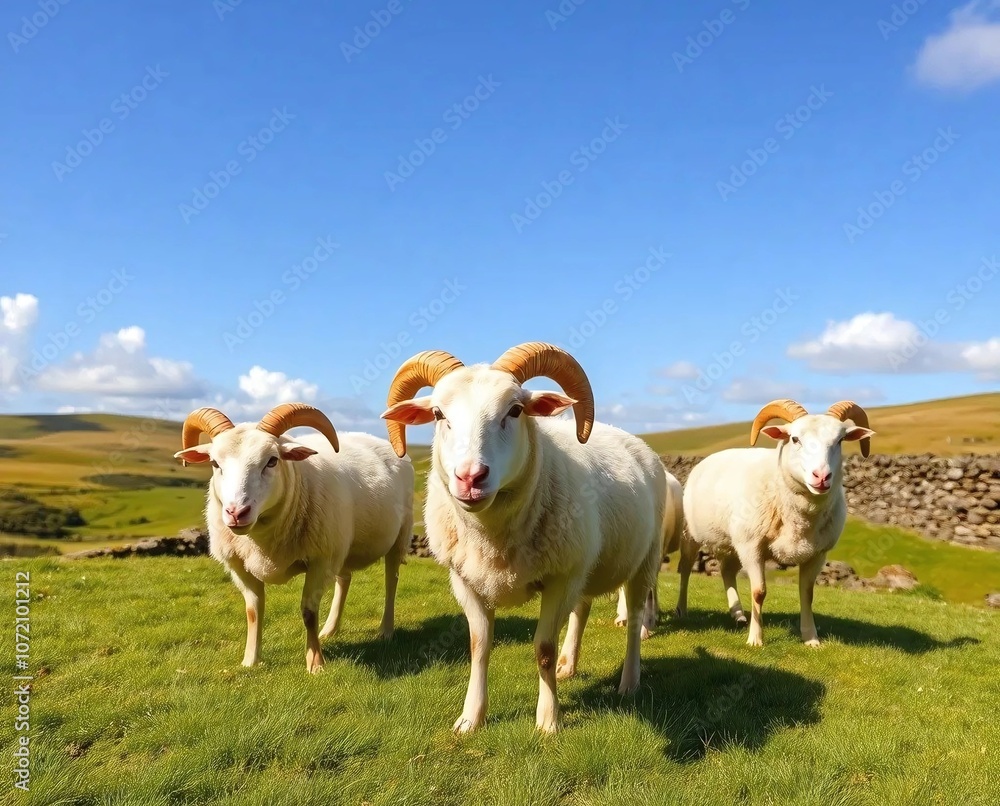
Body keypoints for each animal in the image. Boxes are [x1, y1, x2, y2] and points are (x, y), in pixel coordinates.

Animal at [174, 403, 414, 673]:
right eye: (215, 463)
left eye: (272, 461)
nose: (236, 513)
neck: (262, 539)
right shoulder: (239, 566)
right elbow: (253, 610)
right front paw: (250, 660)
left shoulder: (320, 561)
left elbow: (308, 612)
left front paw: (315, 663)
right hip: (340, 543)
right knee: (344, 579)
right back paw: (330, 629)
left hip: (398, 536)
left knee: (391, 581)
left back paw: (386, 629)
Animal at [381, 342, 671, 734]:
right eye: (439, 414)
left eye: (515, 410)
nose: (470, 478)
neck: (492, 537)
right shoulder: (466, 580)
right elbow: (478, 645)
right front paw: (470, 718)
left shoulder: (560, 579)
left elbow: (543, 649)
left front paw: (548, 720)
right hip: (585, 562)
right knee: (582, 609)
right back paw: (569, 665)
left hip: (643, 559)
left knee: (636, 617)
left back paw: (629, 680)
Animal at [674, 399, 874, 648]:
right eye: (794, 439)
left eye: (839, 441)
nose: (821, 477)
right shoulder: (752, 547)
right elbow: (759, 592)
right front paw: (755, 639)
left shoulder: (817, 554)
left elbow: (807, 593)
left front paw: (811, 638)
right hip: (692, 535)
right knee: (685, 569)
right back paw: (682, 609)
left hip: (731, 543)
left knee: (727, 572)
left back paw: (738, 614)